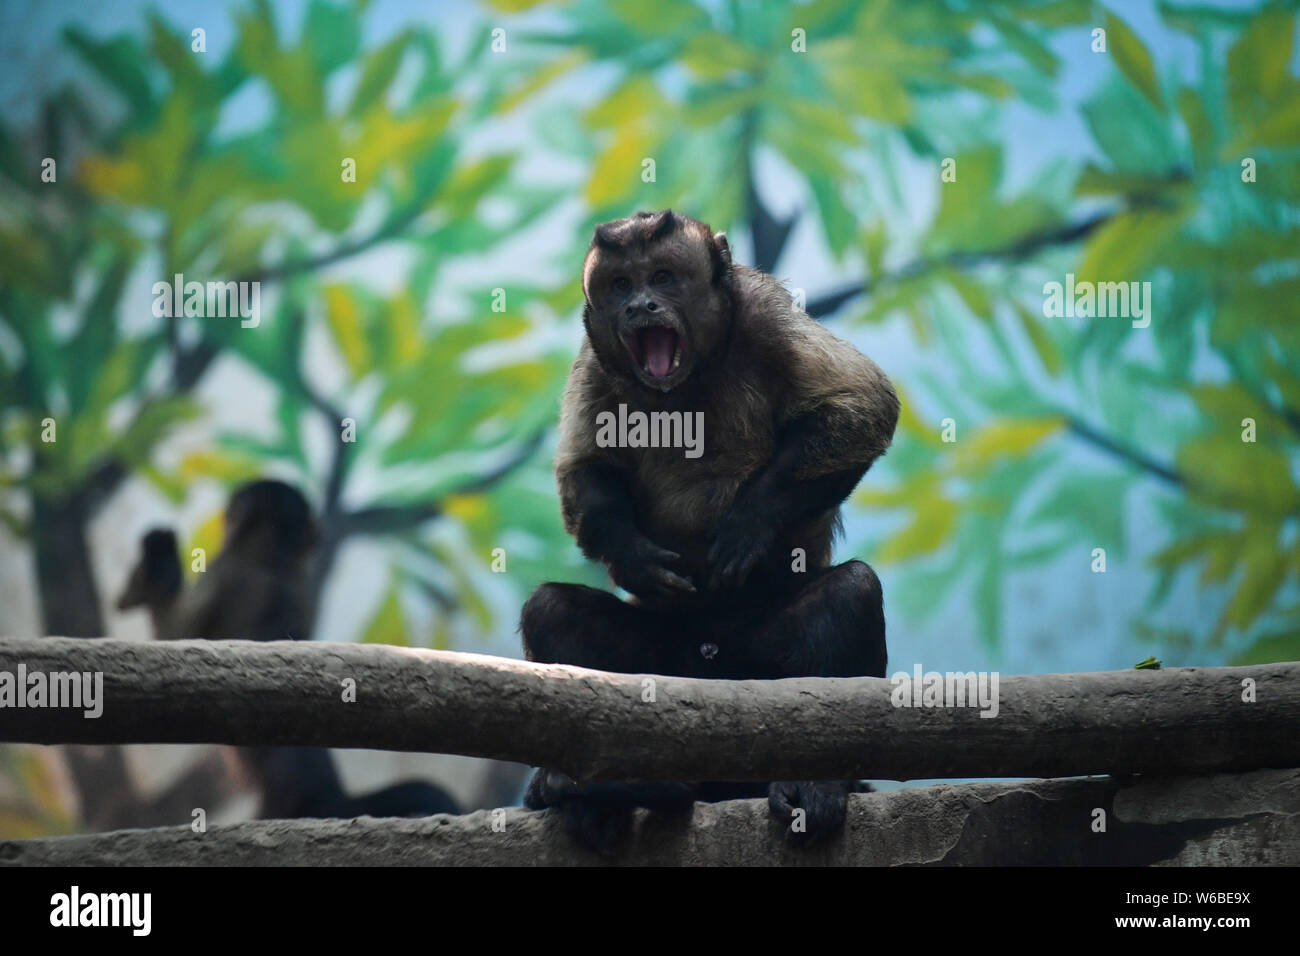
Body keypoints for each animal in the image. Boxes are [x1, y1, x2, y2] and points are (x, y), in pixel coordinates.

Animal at [519, 210, 899, 854]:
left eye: (663, 278)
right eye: (620, 285)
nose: (641, 306)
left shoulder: (765, 310)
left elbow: (862, 410)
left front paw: (750, 522)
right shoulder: (596, 357)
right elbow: (582, 473)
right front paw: (630, 557)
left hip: (754, 669)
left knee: (850, 592)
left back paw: (817, 780)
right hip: (666, 662)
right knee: (552, 611)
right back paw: (605, 788)